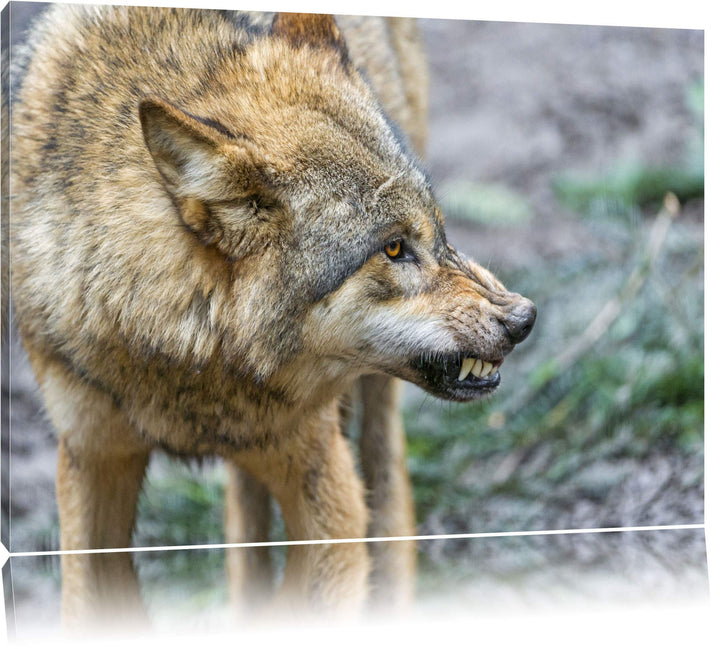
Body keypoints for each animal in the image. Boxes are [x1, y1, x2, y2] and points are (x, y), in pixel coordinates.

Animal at [9, 5, 535, 625]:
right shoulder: (91, 458)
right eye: (394, 248)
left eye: (439, 234)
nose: (524, 318)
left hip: (373, 418)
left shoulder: (323, 479)